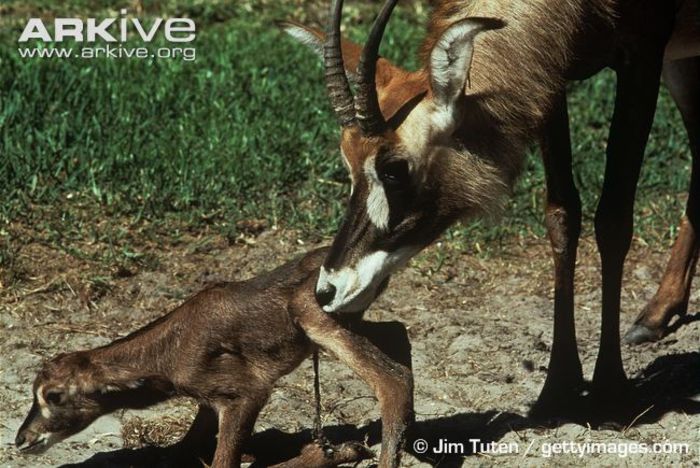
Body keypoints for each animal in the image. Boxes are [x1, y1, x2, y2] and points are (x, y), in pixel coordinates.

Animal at [16, 247, 412, 466]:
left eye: (53, 395)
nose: (21, 439)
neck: (169, 353)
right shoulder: (209, 401)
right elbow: (183, 448)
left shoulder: (246, 393)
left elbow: (223, 459)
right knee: (398, 331)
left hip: (316, 317)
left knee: (391, 378)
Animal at [280, 0, 700, 416]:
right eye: (348, 163)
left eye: (394, 169)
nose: (328, 290)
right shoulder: (550, 75)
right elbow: (562, 214)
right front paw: (558, 388)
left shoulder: (641, 54)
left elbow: (612, 218)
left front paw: (609, 391)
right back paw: (659, 313)